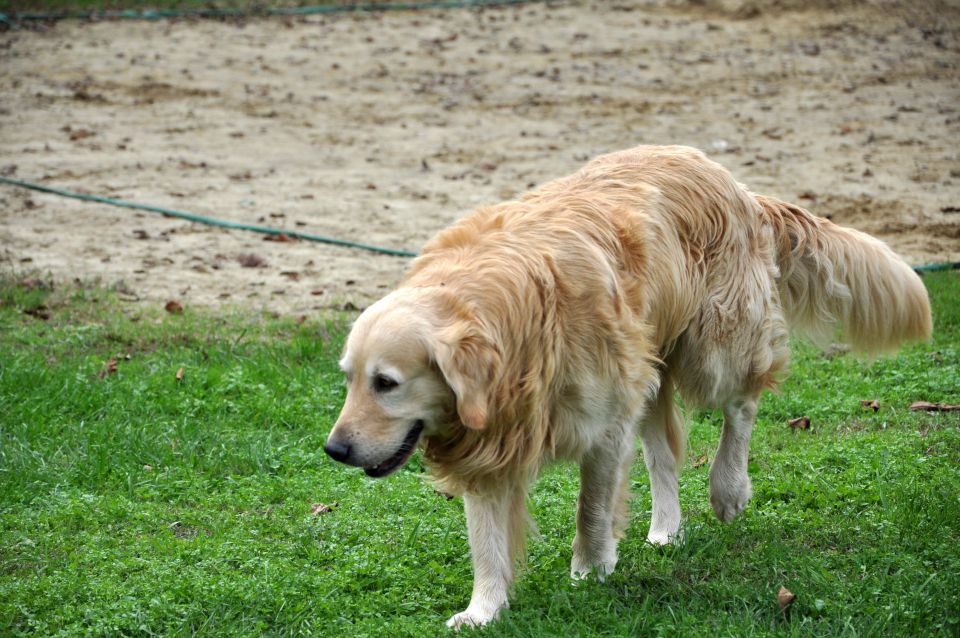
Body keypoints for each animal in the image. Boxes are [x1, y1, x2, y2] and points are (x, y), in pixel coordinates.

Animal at [324, 145, 928, 632]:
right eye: (349, 378)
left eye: (386, 383)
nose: (334, 449)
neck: (514, 320)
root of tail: (732, 180)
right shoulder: (494, 436)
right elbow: (487, 540)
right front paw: (483, 610)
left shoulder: (604, 425)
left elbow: (590, 509)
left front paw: (591, 570)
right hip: (650, 369)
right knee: (665, 453)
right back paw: (666, 529)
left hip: (712, 347)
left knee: (741, 405)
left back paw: (728, 489)